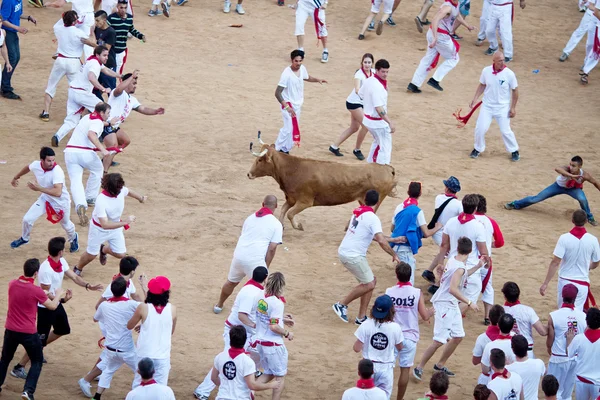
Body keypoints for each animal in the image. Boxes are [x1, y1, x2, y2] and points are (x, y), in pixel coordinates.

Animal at [248, 134, 398, 230]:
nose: (249, 174)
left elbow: (290, 213)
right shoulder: (291, 198)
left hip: (376, 199)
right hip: (364, 200)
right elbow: (284, 210)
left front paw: (298, 226)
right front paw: (281, 225)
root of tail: (387, 168)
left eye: (260, 160)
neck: (293, 168)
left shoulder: (305, 201)